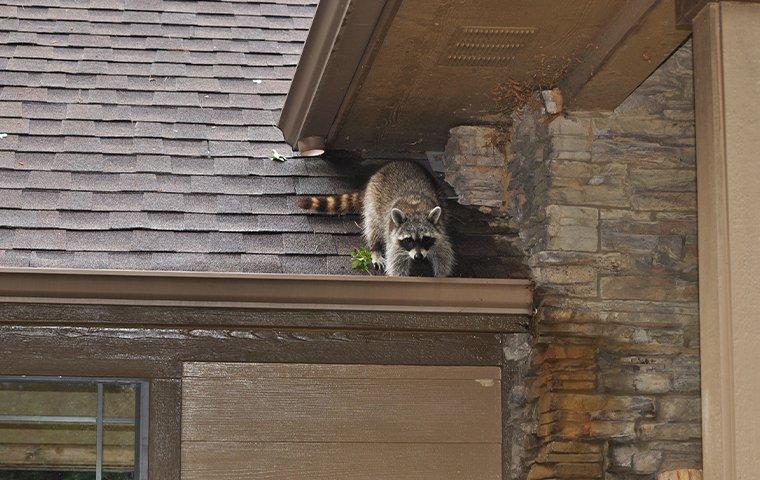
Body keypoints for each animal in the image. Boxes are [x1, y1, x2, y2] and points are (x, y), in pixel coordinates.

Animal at [296, 160, 452, 278]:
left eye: (426, 238)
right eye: (409, 240)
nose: (418, 257)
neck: (416, 210)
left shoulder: (440, 231)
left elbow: (443, 253)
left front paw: (441, 276)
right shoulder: (393, 237)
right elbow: (396, 262)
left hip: (438, 192)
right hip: (373, 202)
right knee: (373, 228)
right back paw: (375, 249)